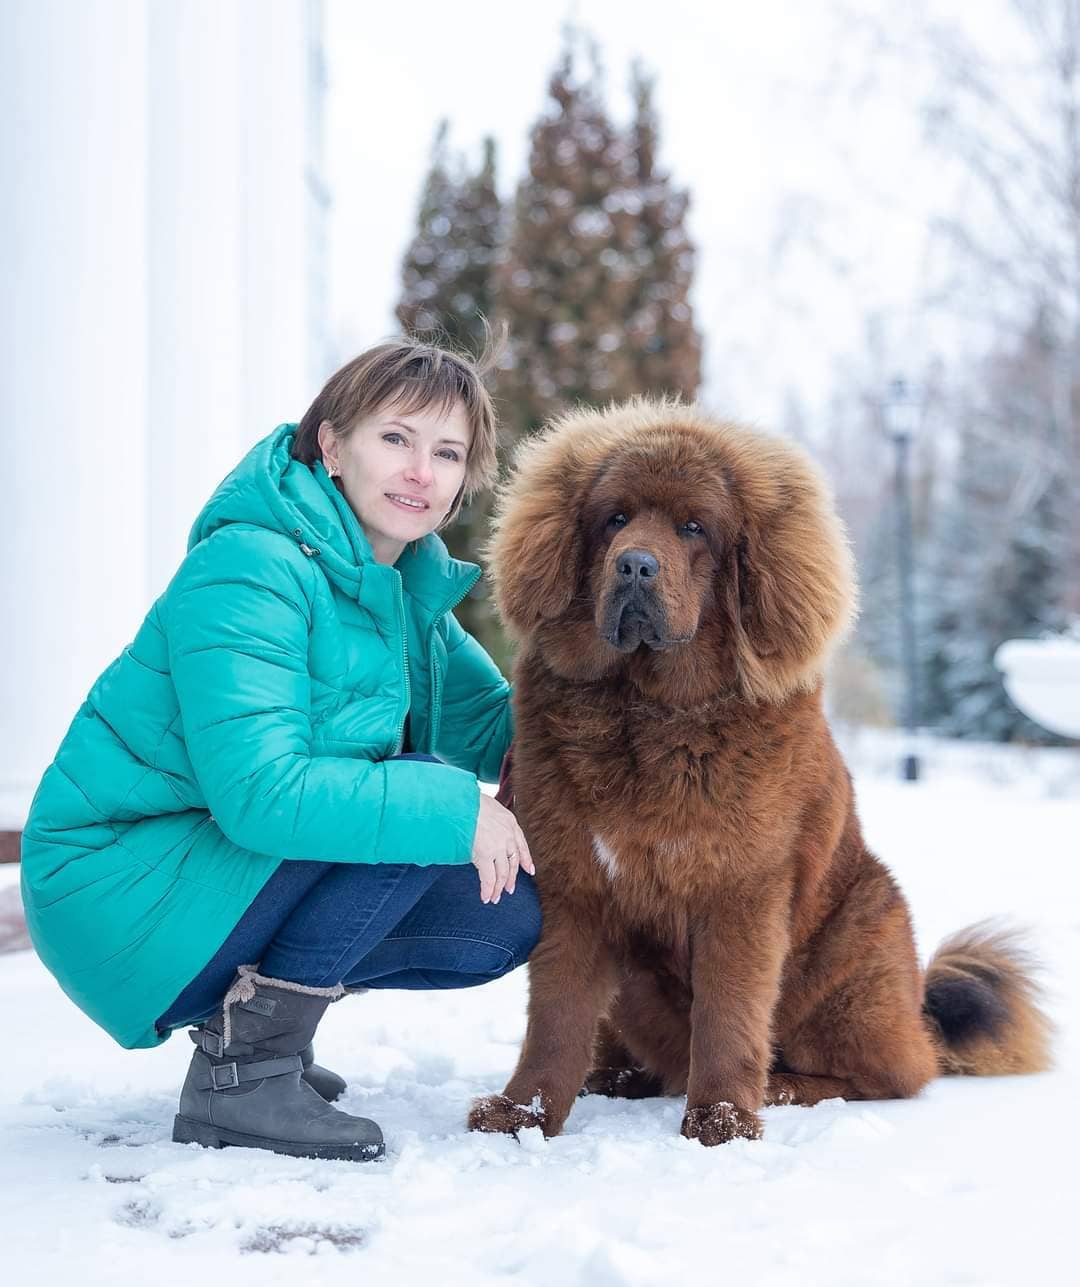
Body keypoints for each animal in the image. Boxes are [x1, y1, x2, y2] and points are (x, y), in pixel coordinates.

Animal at [468, 398, 1052, 1146]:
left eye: (693, 528)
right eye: (615, 519)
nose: (634, 567)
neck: (648, 713)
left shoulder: (739, 890)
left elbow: (728, 1015)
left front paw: (721, 1119)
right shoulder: (576, 888)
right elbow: (556, 1019)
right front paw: (523, 1114)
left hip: (856, 954)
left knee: (889, 1074)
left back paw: (781, 1088)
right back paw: (619, 1076)